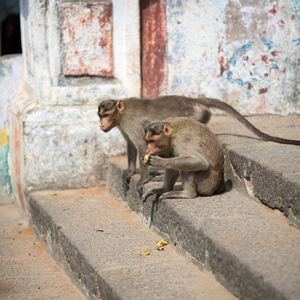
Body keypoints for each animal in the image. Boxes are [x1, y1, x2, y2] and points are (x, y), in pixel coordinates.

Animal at [98, 95, 300, 196]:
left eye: (105, 115)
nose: (101, 125)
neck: (121, 112)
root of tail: (194, 100)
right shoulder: (123, 125)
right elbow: (131, 144)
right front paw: (131, 172)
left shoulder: (129, 121)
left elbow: (139, 144)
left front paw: (143, 179)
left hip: (196, 116)